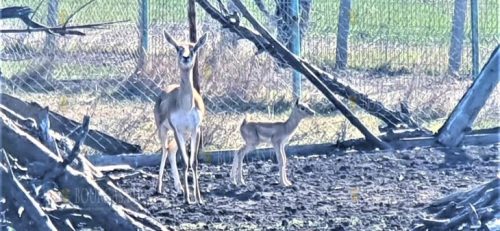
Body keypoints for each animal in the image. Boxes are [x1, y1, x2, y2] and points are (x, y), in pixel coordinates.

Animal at [153, 30, 206, 204]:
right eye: (178, 48)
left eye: (194, 48)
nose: (186, 57)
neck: (185, 106)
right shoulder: (177, 130)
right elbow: (184, 162)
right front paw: (188, 199)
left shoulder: (196, 130)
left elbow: (193, 162)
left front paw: (199, 198)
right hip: (164, 130)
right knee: (164, 150)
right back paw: (159, 188)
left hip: (184, 135)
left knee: (170, 151)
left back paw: (179, 188)